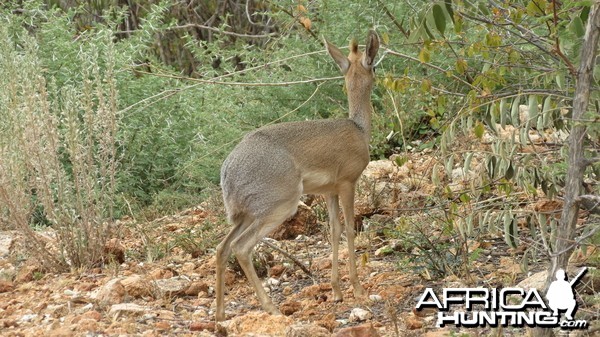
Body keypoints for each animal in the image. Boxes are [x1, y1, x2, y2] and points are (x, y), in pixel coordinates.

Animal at [216, 29, 380, 320]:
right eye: (374, 66)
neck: (358, 129)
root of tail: (227, 171)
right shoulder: (348, 184)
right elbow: (350, 230)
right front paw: (358, 289)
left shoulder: (329, 192)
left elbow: (334, 231)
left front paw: (337, 291)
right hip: (279, 207)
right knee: (241, 248)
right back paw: (271, 308)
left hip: (246, 215)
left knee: (222, 248)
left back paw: (220, 314)